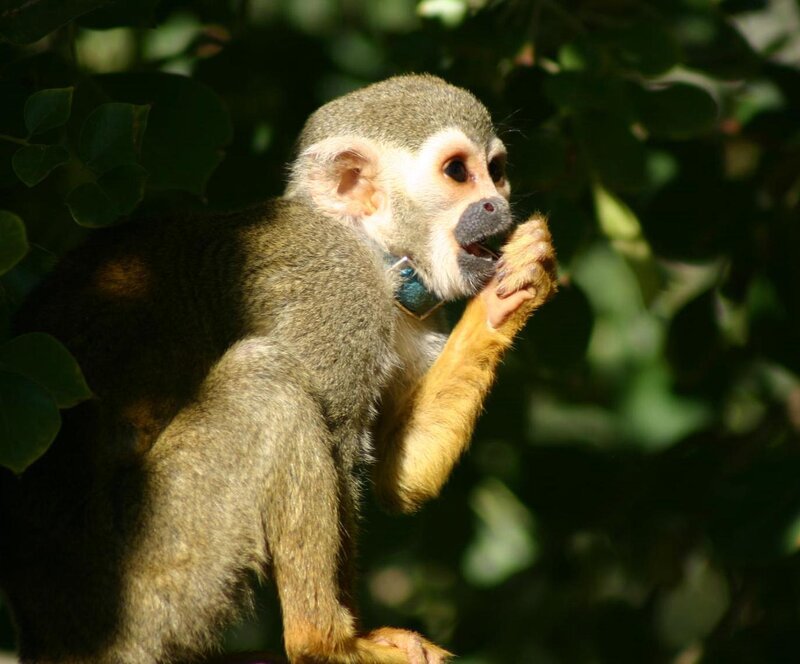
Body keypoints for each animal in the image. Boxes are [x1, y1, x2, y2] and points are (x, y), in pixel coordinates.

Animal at [0, 74, 556, 664]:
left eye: (495, 169)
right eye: (457, 172)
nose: (497, 203)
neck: (369, 250)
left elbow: (397, 477)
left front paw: (512, 290)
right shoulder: (332, 292)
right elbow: (339, 452)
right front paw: (349, 637)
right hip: (153, 577)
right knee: (268, 380)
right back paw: (322, 640)